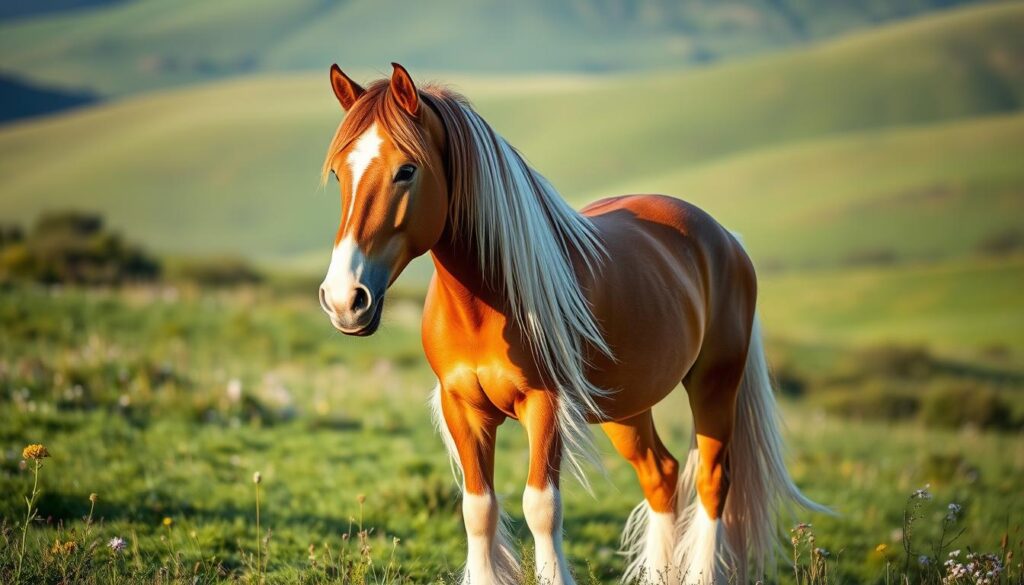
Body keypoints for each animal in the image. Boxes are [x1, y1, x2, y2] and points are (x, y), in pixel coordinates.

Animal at [315, 64, 827, 585]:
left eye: (407, 170)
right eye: (338, 173)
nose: (344, 299)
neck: (488, 303)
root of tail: (726, 238)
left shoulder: (546, 404)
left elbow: (541, 507)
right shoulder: (462, 407)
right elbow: (478, 510)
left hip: (714, 384)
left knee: (711, 481)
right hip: (627, 408)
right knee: (661, 477)